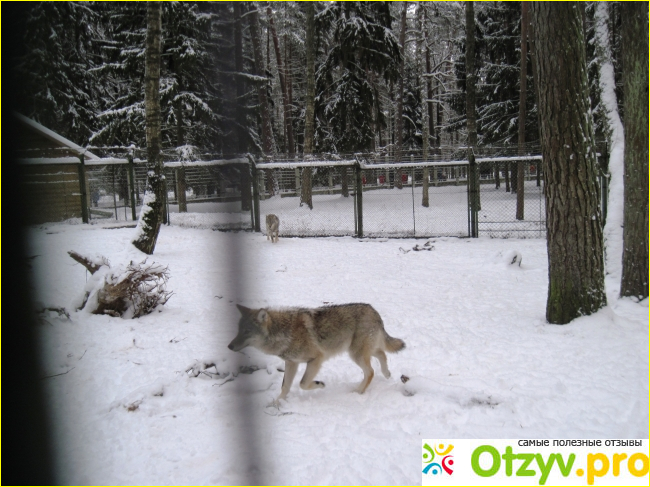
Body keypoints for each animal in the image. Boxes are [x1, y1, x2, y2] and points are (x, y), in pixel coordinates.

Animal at [225, 304, 402, 404]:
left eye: (247, 331)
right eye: (238, 330)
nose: (229, 346)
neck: (284, 333)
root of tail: (374, 311)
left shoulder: (316, 359)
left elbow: (302, 383)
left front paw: (320, 384)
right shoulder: (291, 363)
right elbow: (285, 386)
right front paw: (277, 404)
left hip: (355, 354)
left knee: (370, 371)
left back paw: (358, 392)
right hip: (359, 351)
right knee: (382, 354)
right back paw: (386, 374)